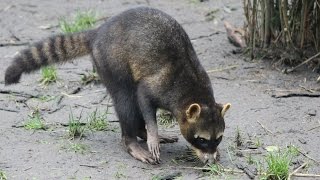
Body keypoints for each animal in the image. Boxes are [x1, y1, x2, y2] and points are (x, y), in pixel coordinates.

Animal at [4, 7, 230, 165]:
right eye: (202, 140)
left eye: (217, 139)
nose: (210, 162)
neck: (195, 93)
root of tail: (98, 32)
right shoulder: (161, 84)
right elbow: (143, 99)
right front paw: (152, 133)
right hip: (111, 62)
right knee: (126, 100)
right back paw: (133, 139)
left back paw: (140, 131)